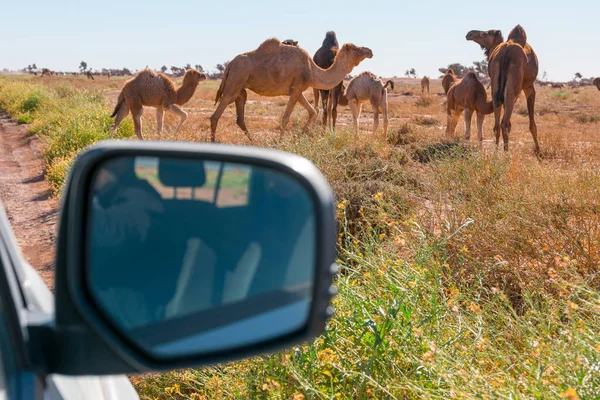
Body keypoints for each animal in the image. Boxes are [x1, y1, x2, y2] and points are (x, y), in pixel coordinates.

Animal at [210, 36, 370, 142]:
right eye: (355, 48)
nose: (369, 50)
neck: (313, 71)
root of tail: (230, 65)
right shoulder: (297, 88)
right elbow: (286, 117)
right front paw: (281, 142)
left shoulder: (296, 90)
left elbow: (312, 112)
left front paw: (298, 137)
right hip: (235, 81)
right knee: (215, 115)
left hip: (241, 89)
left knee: (240, 118)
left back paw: (253, 142)